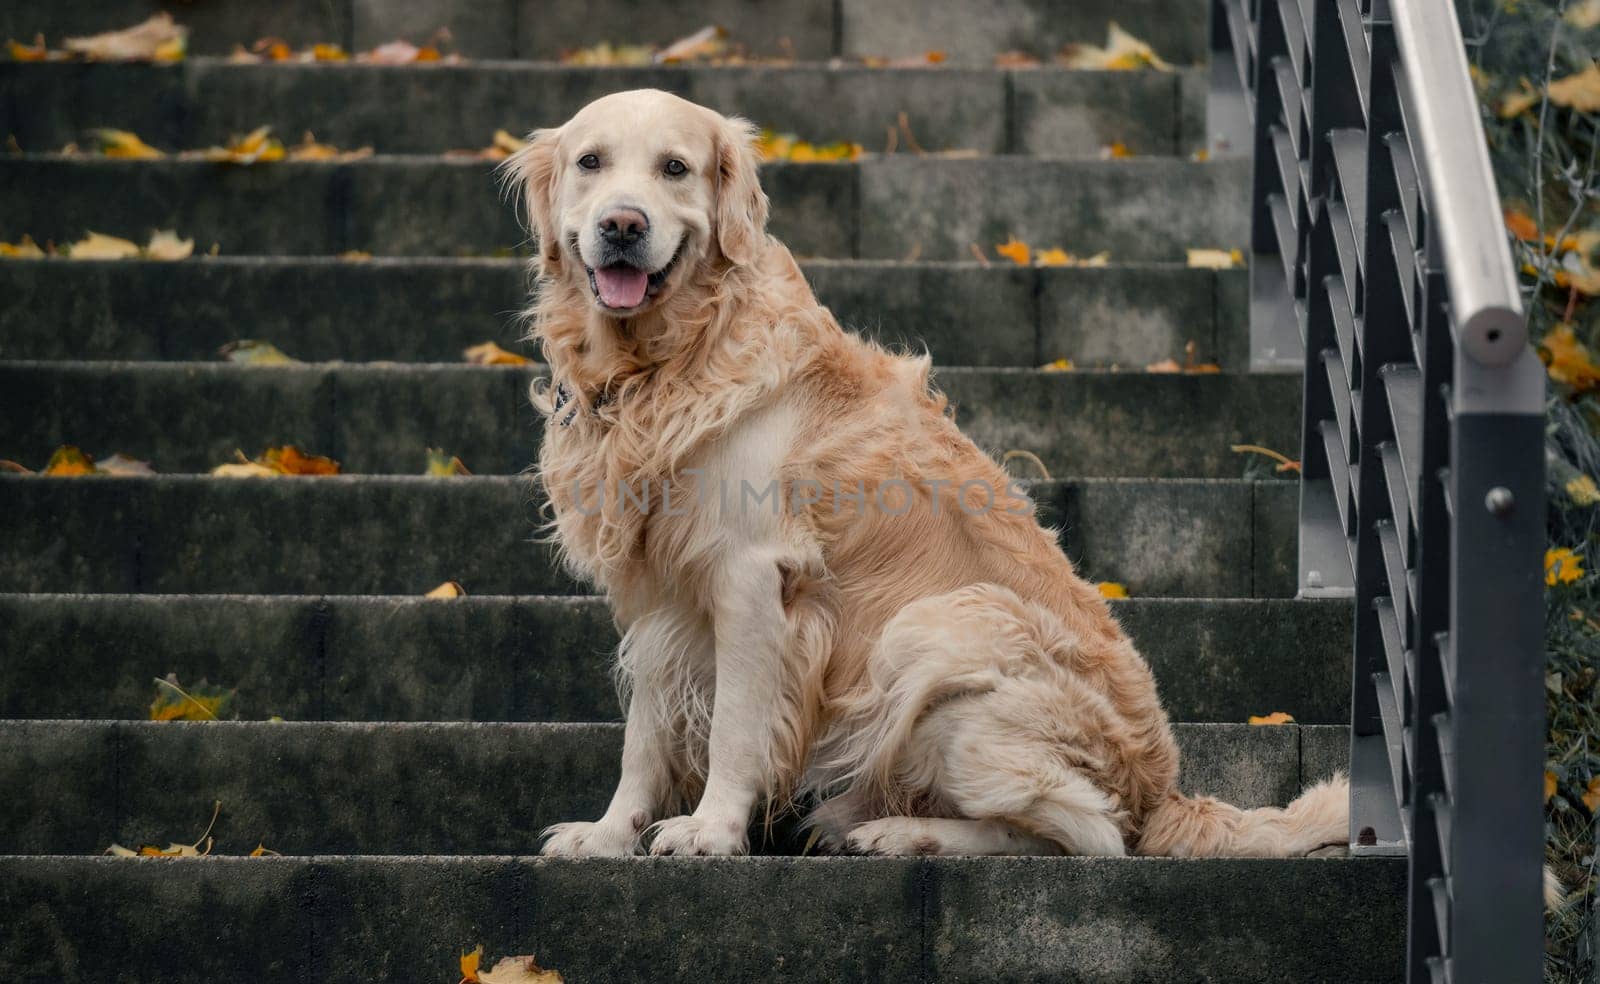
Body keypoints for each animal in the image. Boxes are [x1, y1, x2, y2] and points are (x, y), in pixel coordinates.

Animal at [502, 92, 1350, 864]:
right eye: (591, 163)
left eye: (674, 168)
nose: (623, 225)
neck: (665, 361)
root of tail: (1163, 794)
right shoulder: (660, 593)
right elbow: (644, 735)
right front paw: (610, 834)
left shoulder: (750, 575)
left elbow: (736, 728)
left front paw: (710, 830)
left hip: (935, 631)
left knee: (1083, 833)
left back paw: (898, 832)